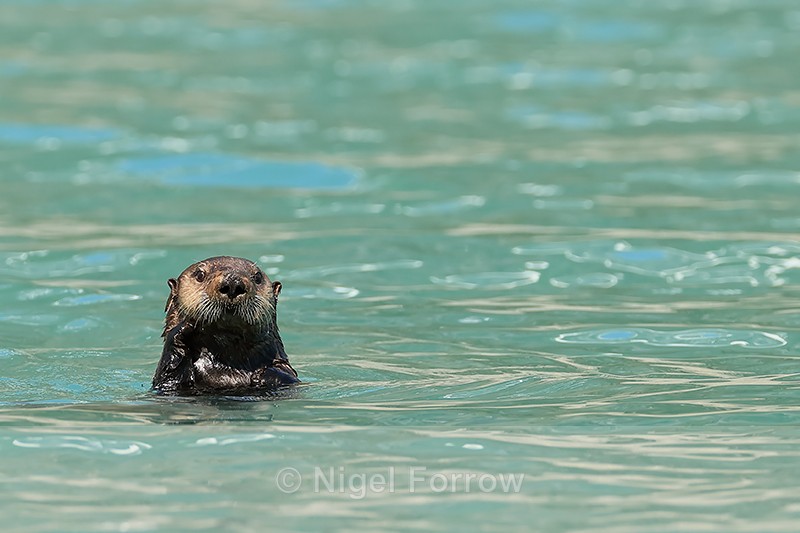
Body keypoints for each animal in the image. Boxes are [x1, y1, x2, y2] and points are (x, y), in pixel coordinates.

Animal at [152, 256, 299, 395]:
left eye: (257, 277)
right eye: (199, 274)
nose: (233, 283)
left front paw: (263, 374)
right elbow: (169, 380)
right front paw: (185, 327)